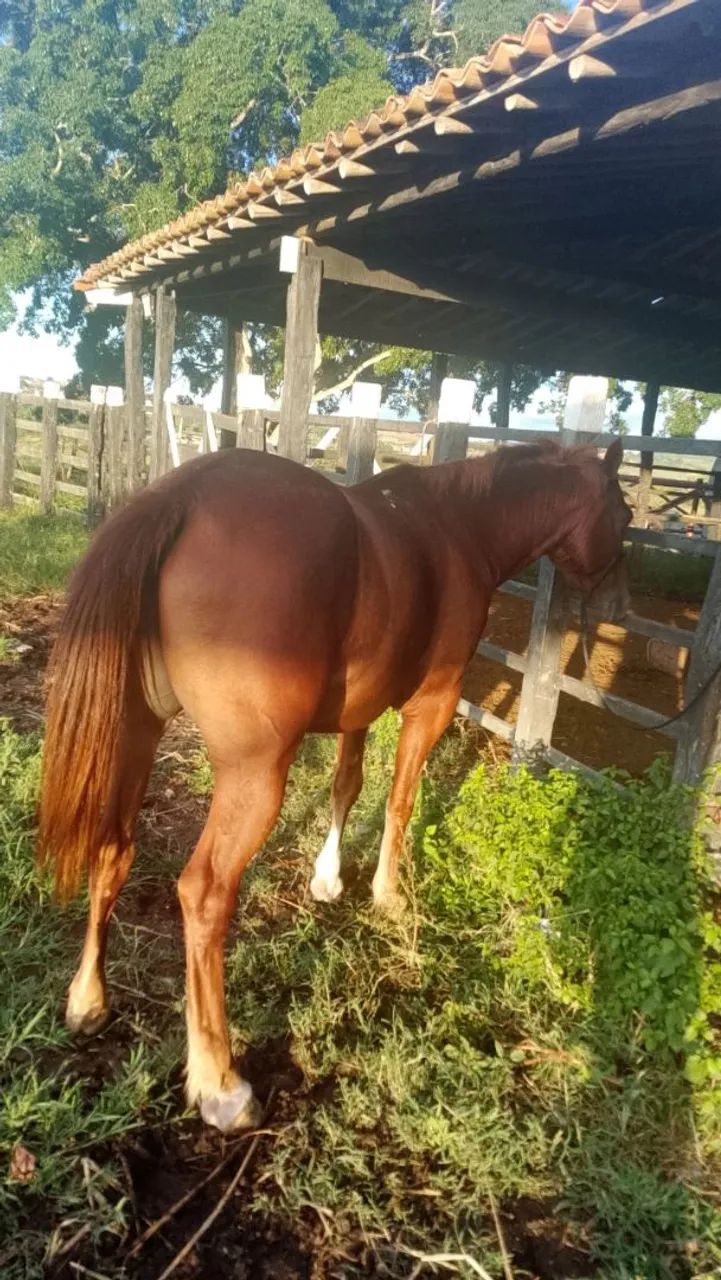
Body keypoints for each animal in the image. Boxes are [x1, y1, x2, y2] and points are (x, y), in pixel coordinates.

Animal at [37, 438, 630, 1133]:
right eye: (622, 513)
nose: (617, 606)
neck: (458, 526)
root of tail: (177, 498)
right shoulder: (431, 704)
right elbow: (400, 799)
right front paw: (387, 894)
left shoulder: (360, 708)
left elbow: (348, 784)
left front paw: (327, 878)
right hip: (253, 775)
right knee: (204, 893)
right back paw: (220, 1083)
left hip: (135, 732)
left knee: (113, 851)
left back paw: (88, 1001)